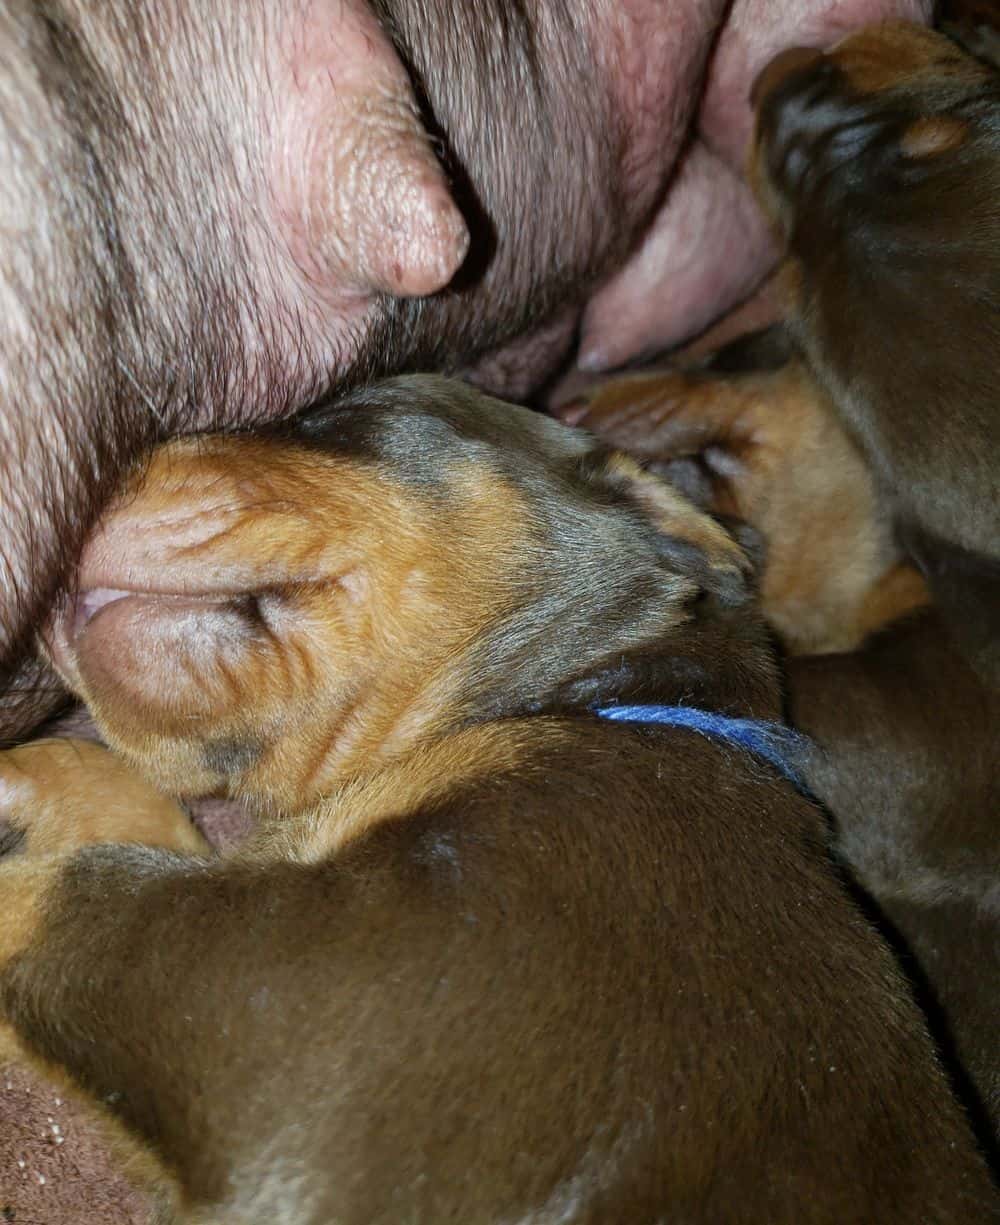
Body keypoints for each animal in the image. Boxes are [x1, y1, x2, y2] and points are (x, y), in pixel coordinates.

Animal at [0, 377, 990, 1220]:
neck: (590, 702)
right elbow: (135, 809)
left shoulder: (299, 985)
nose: (86, 480)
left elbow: (67, 891)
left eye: (337, 412)